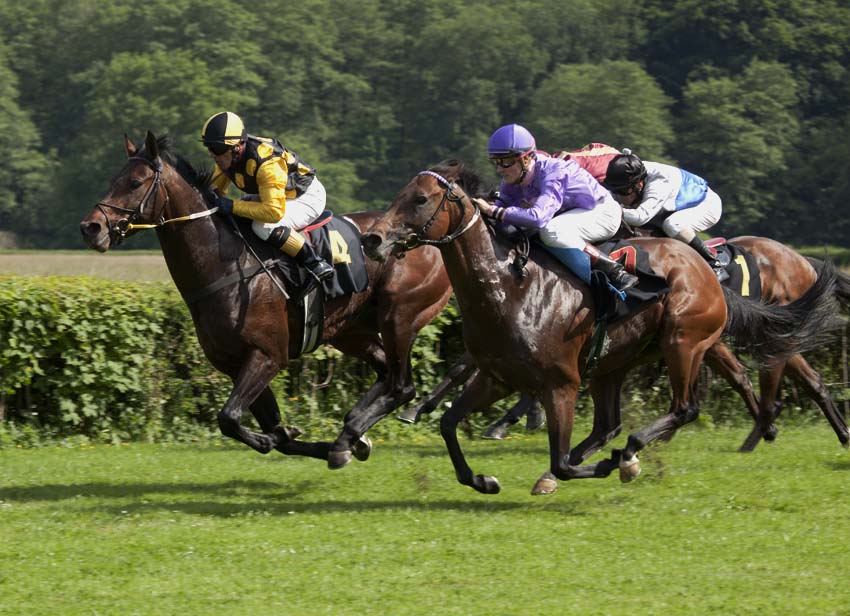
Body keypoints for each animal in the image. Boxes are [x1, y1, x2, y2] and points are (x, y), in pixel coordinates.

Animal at [79, 130, 450, 466]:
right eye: (114, 179)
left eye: (135, 183)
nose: (91, 227)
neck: (226, 266)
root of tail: (429, 239)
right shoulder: (234, 363)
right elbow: (269, 431)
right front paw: (292, 437)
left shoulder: (267, 355)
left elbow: (229, 418)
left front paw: (288, 439)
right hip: (350, 331)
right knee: (387, 374)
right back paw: (353, 433)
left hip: (399, 318)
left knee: (402, 386)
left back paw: (350, 433)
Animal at [360, 161, 836, 494]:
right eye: (401, 194)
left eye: (421, 200)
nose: (372, 240)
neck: (509, 288)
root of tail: (705, 269)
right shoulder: (496, 377)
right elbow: (448, 424)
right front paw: (482, 478)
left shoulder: (561, 385)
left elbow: (561, 459)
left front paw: (607, 463)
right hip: (615, 363)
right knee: (609, 424)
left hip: (684, 341)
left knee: (685, 407)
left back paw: (634, 452)